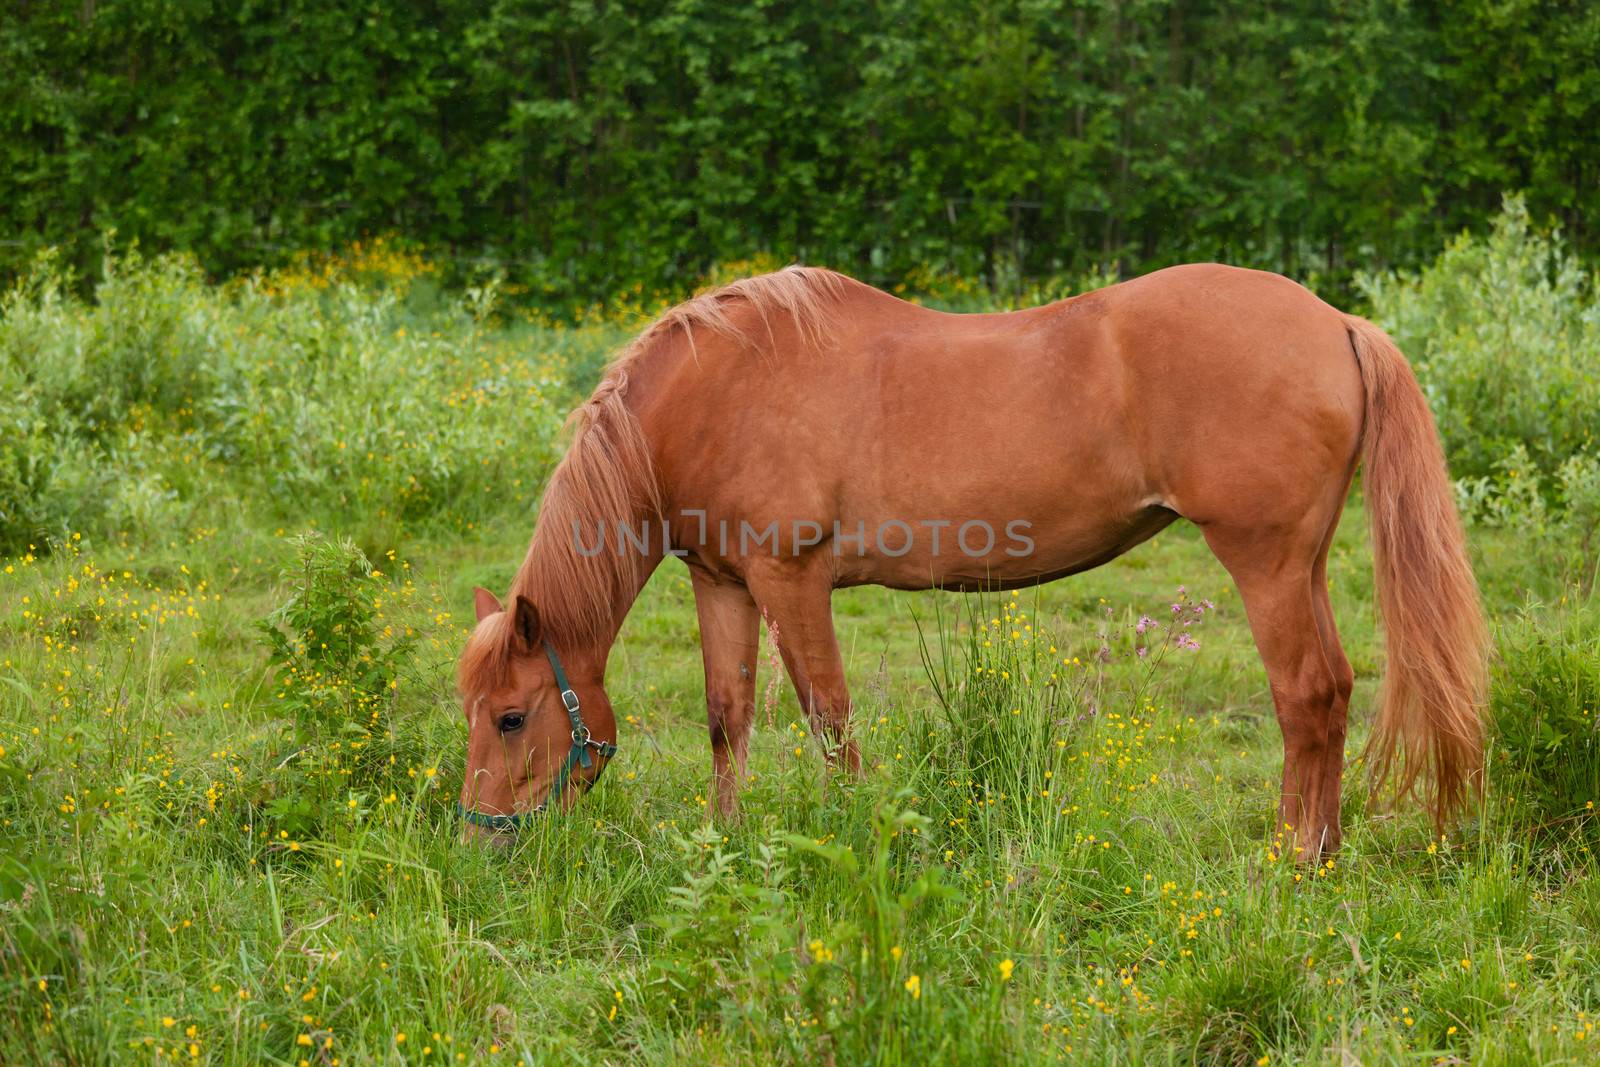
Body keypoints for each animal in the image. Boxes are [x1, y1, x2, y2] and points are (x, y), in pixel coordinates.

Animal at [454, 267, 1484, 857]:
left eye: (511, 717)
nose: (477, 844)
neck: (719, 388)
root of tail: (1336, 321)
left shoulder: (794, 581)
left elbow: (829, 719)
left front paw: (856, 837)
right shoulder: (724, 584)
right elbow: (727, 717)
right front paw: (724, 838)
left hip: (1264, 564)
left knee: (1304, 695)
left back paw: (1292, 859)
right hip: (1301, 566)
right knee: (1337, 689)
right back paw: (1327, 849)